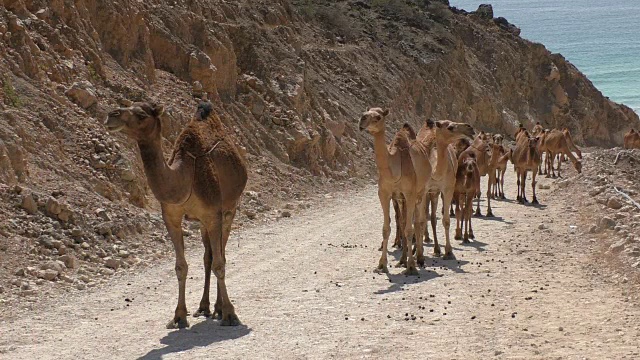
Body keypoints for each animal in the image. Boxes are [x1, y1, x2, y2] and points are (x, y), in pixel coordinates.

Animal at [104, 100, 246, 328]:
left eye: (141, 114)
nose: (112, 114)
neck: (185, 178)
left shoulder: (213, 214)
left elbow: (220, 263)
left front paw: (230, 314)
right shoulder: (172, 217)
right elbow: (181, 266)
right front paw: (179, 316)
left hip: (229, 210)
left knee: (221, 254)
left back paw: (219, 308)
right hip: (203, 223)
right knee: (208, 256)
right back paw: (205, 307)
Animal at [358, 108, 428, 274]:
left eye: (378, 117)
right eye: (366, 111)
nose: (361, 120)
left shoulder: (410, 194)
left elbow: (409, 229)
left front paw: (411, 266)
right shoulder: (384, 194)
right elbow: (386, 228)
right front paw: (381, 264)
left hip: (422, 192)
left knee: (419, 221)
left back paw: (419, 258)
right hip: (402, 198)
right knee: (405, 222)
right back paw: (402, 259)